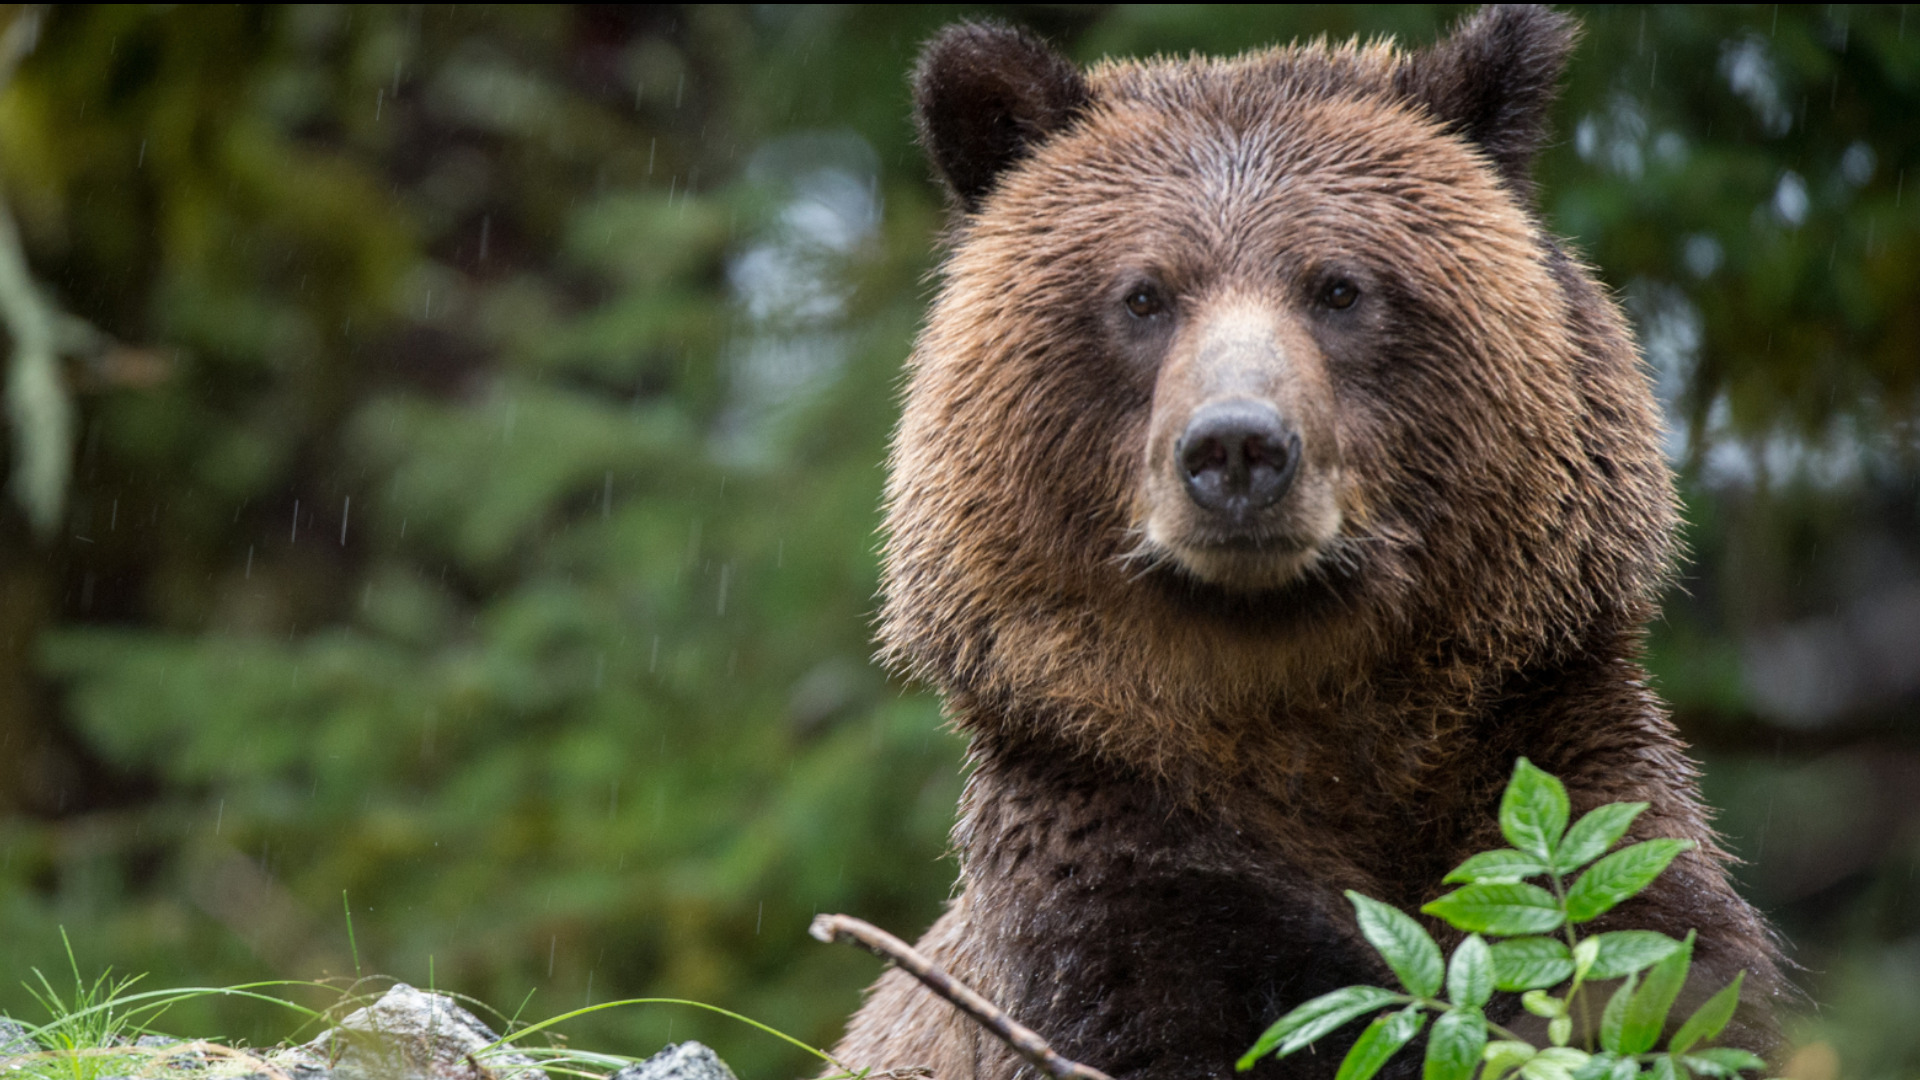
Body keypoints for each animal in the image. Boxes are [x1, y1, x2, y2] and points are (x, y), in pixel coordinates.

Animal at [833, 7, 1786, 1079]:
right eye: (1143, 295)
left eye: (1337, 288)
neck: (1299, 712)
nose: (1237, 447)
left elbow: (1660, 970)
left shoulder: (1563, 780)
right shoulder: (1112, 877)